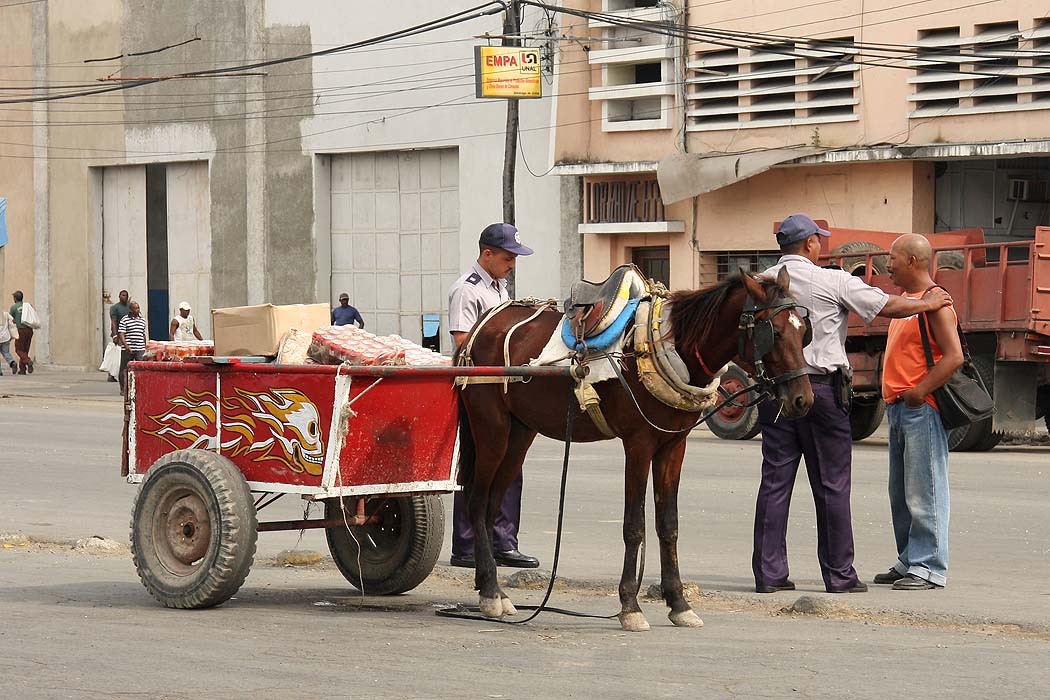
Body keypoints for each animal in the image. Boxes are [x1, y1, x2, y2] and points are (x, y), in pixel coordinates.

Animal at [453, 265, 810, 633]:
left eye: (803, 332)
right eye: (775, 333)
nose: (803, 399)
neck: (670, 345)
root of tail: (479, 329)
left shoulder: (673, 445)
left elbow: (669, 524)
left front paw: (679, 603)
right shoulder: (638, 444)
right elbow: (634, 524)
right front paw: (630, 605)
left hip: (520, 434)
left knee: (492, 504)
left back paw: (493, 589)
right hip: (492, 429)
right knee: (477, 500)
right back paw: (490, 593)